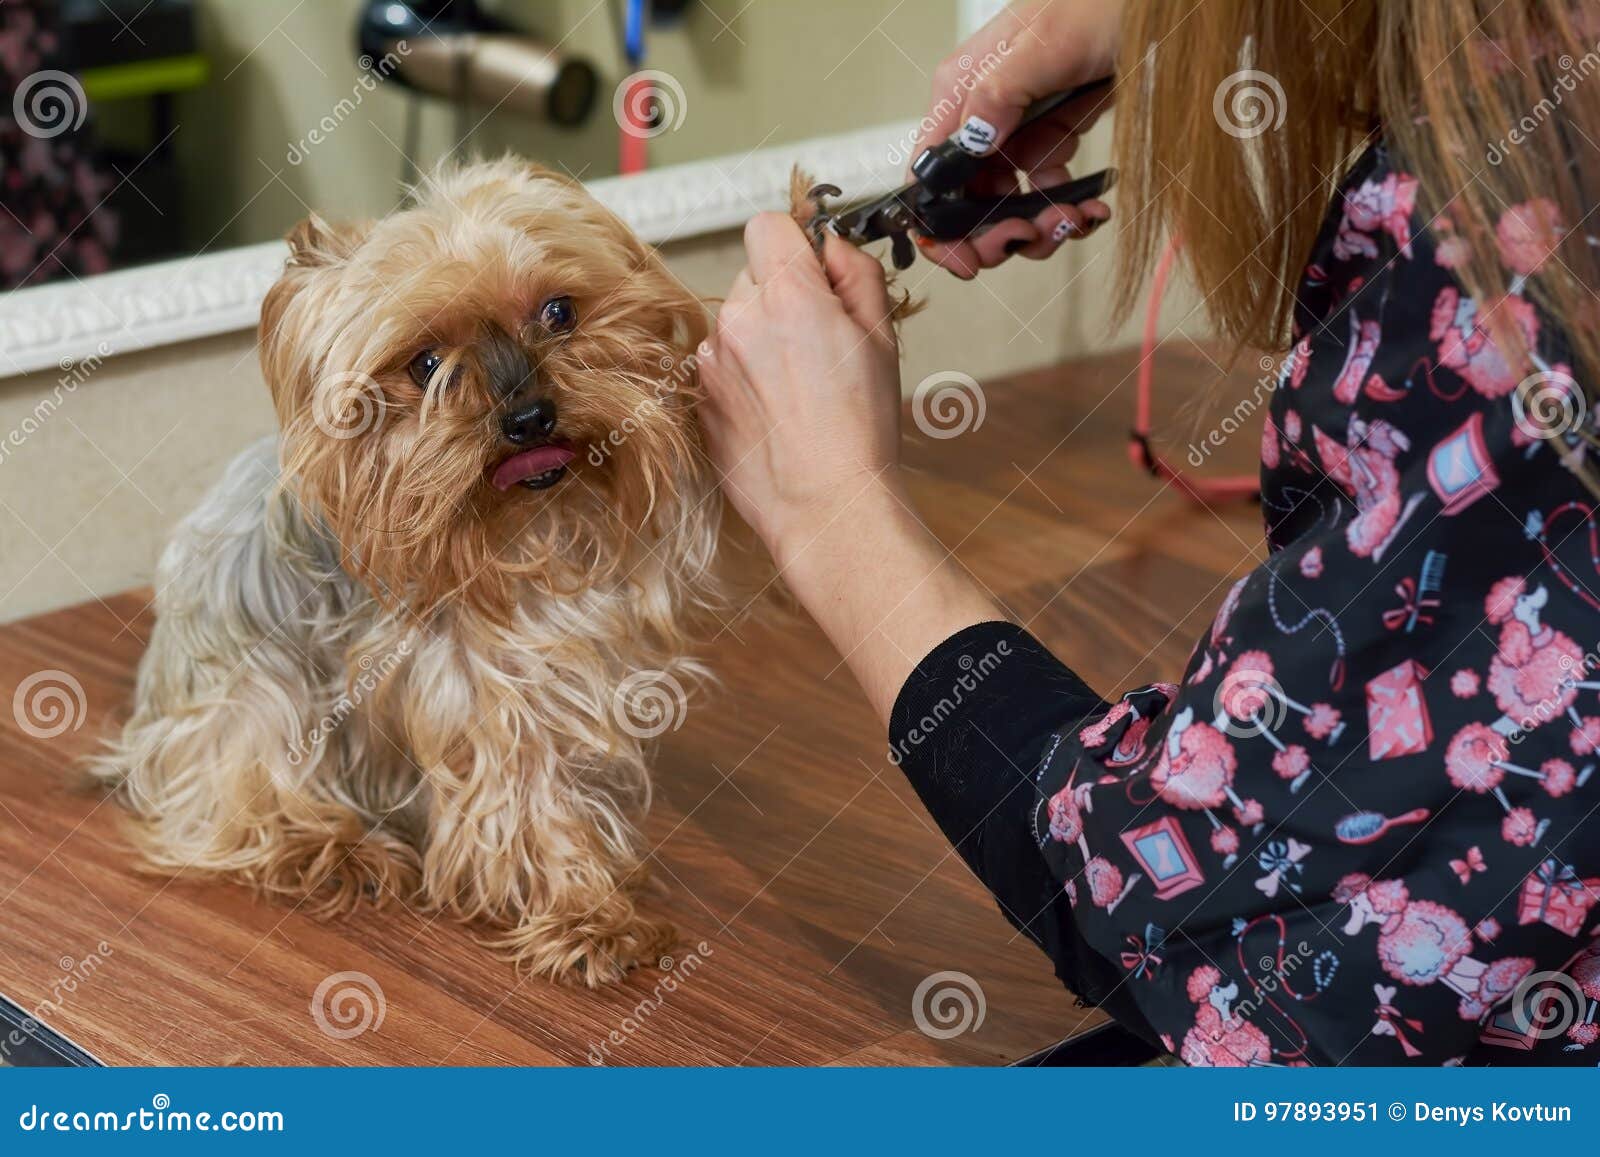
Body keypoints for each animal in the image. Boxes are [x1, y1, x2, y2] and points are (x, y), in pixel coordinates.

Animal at [90, 158, 729, 979]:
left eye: (559, 311)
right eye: (425, 365)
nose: (528, 417)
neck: (525, 530)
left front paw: (592, 900)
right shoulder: (476, 685)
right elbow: (521, 790)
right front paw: (585, 913)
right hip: (242, 683)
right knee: (233, 788)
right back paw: (331, 848)